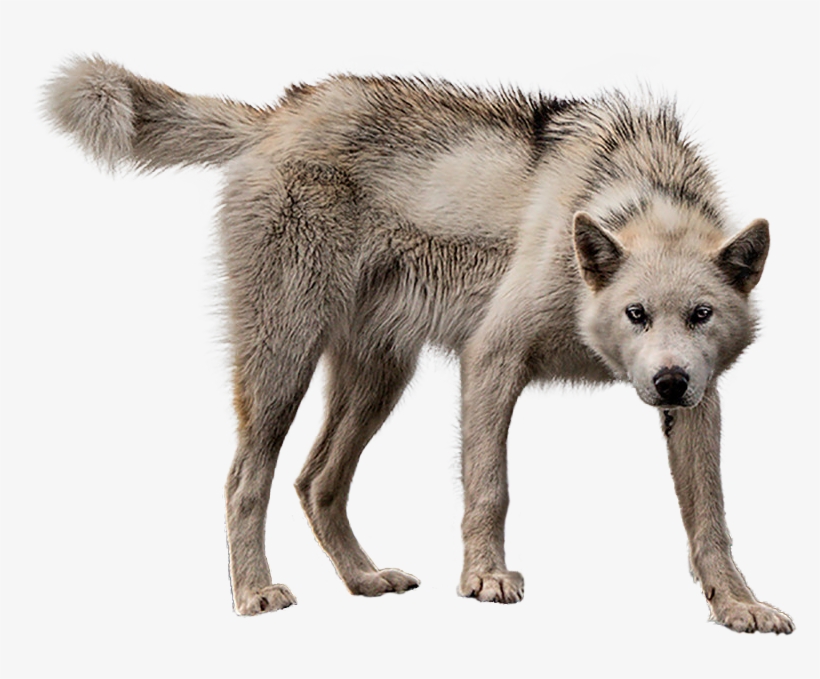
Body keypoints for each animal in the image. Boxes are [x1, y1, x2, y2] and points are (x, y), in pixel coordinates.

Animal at [45, 56, 793, 633]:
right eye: (636, 313)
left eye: (700, 315)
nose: (668, 382)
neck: (633, 195)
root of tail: (280, 114)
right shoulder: (492, 358)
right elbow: (491, 488)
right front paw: (485, 578)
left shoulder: (700, 402)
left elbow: (711, 519)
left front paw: (738, 606)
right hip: (284, 366)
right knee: (244, 479)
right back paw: (254, 592)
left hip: (381, 379)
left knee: (316, 481)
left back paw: (364, 579)